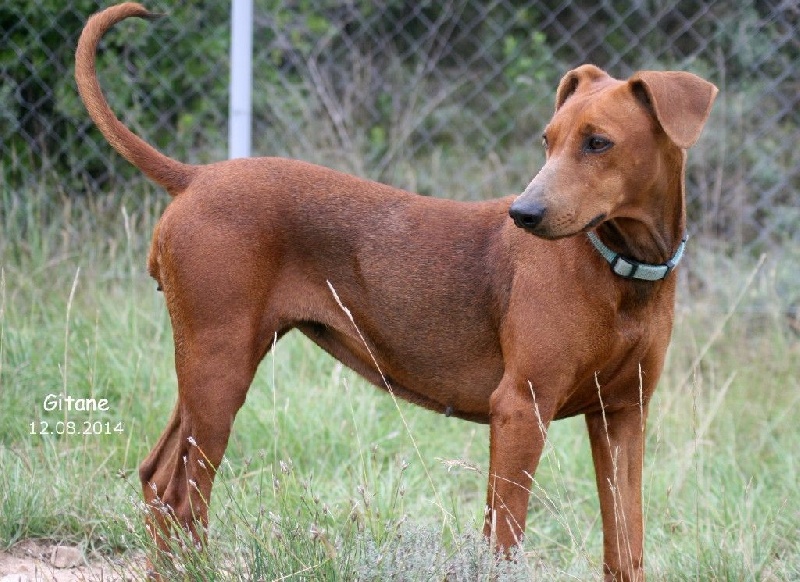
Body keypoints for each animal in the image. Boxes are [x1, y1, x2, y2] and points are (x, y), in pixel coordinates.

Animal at [76, 4, 716, 580]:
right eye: (548, 139)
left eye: (598, 143)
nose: (523, 214)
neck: (623, 270)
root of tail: (197, 176)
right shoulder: (521, 409)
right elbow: (503, 544)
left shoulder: (623, 415)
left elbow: (626, 548)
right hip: (220, 371)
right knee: (182, 495)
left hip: (210, 370)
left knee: (158, 480)